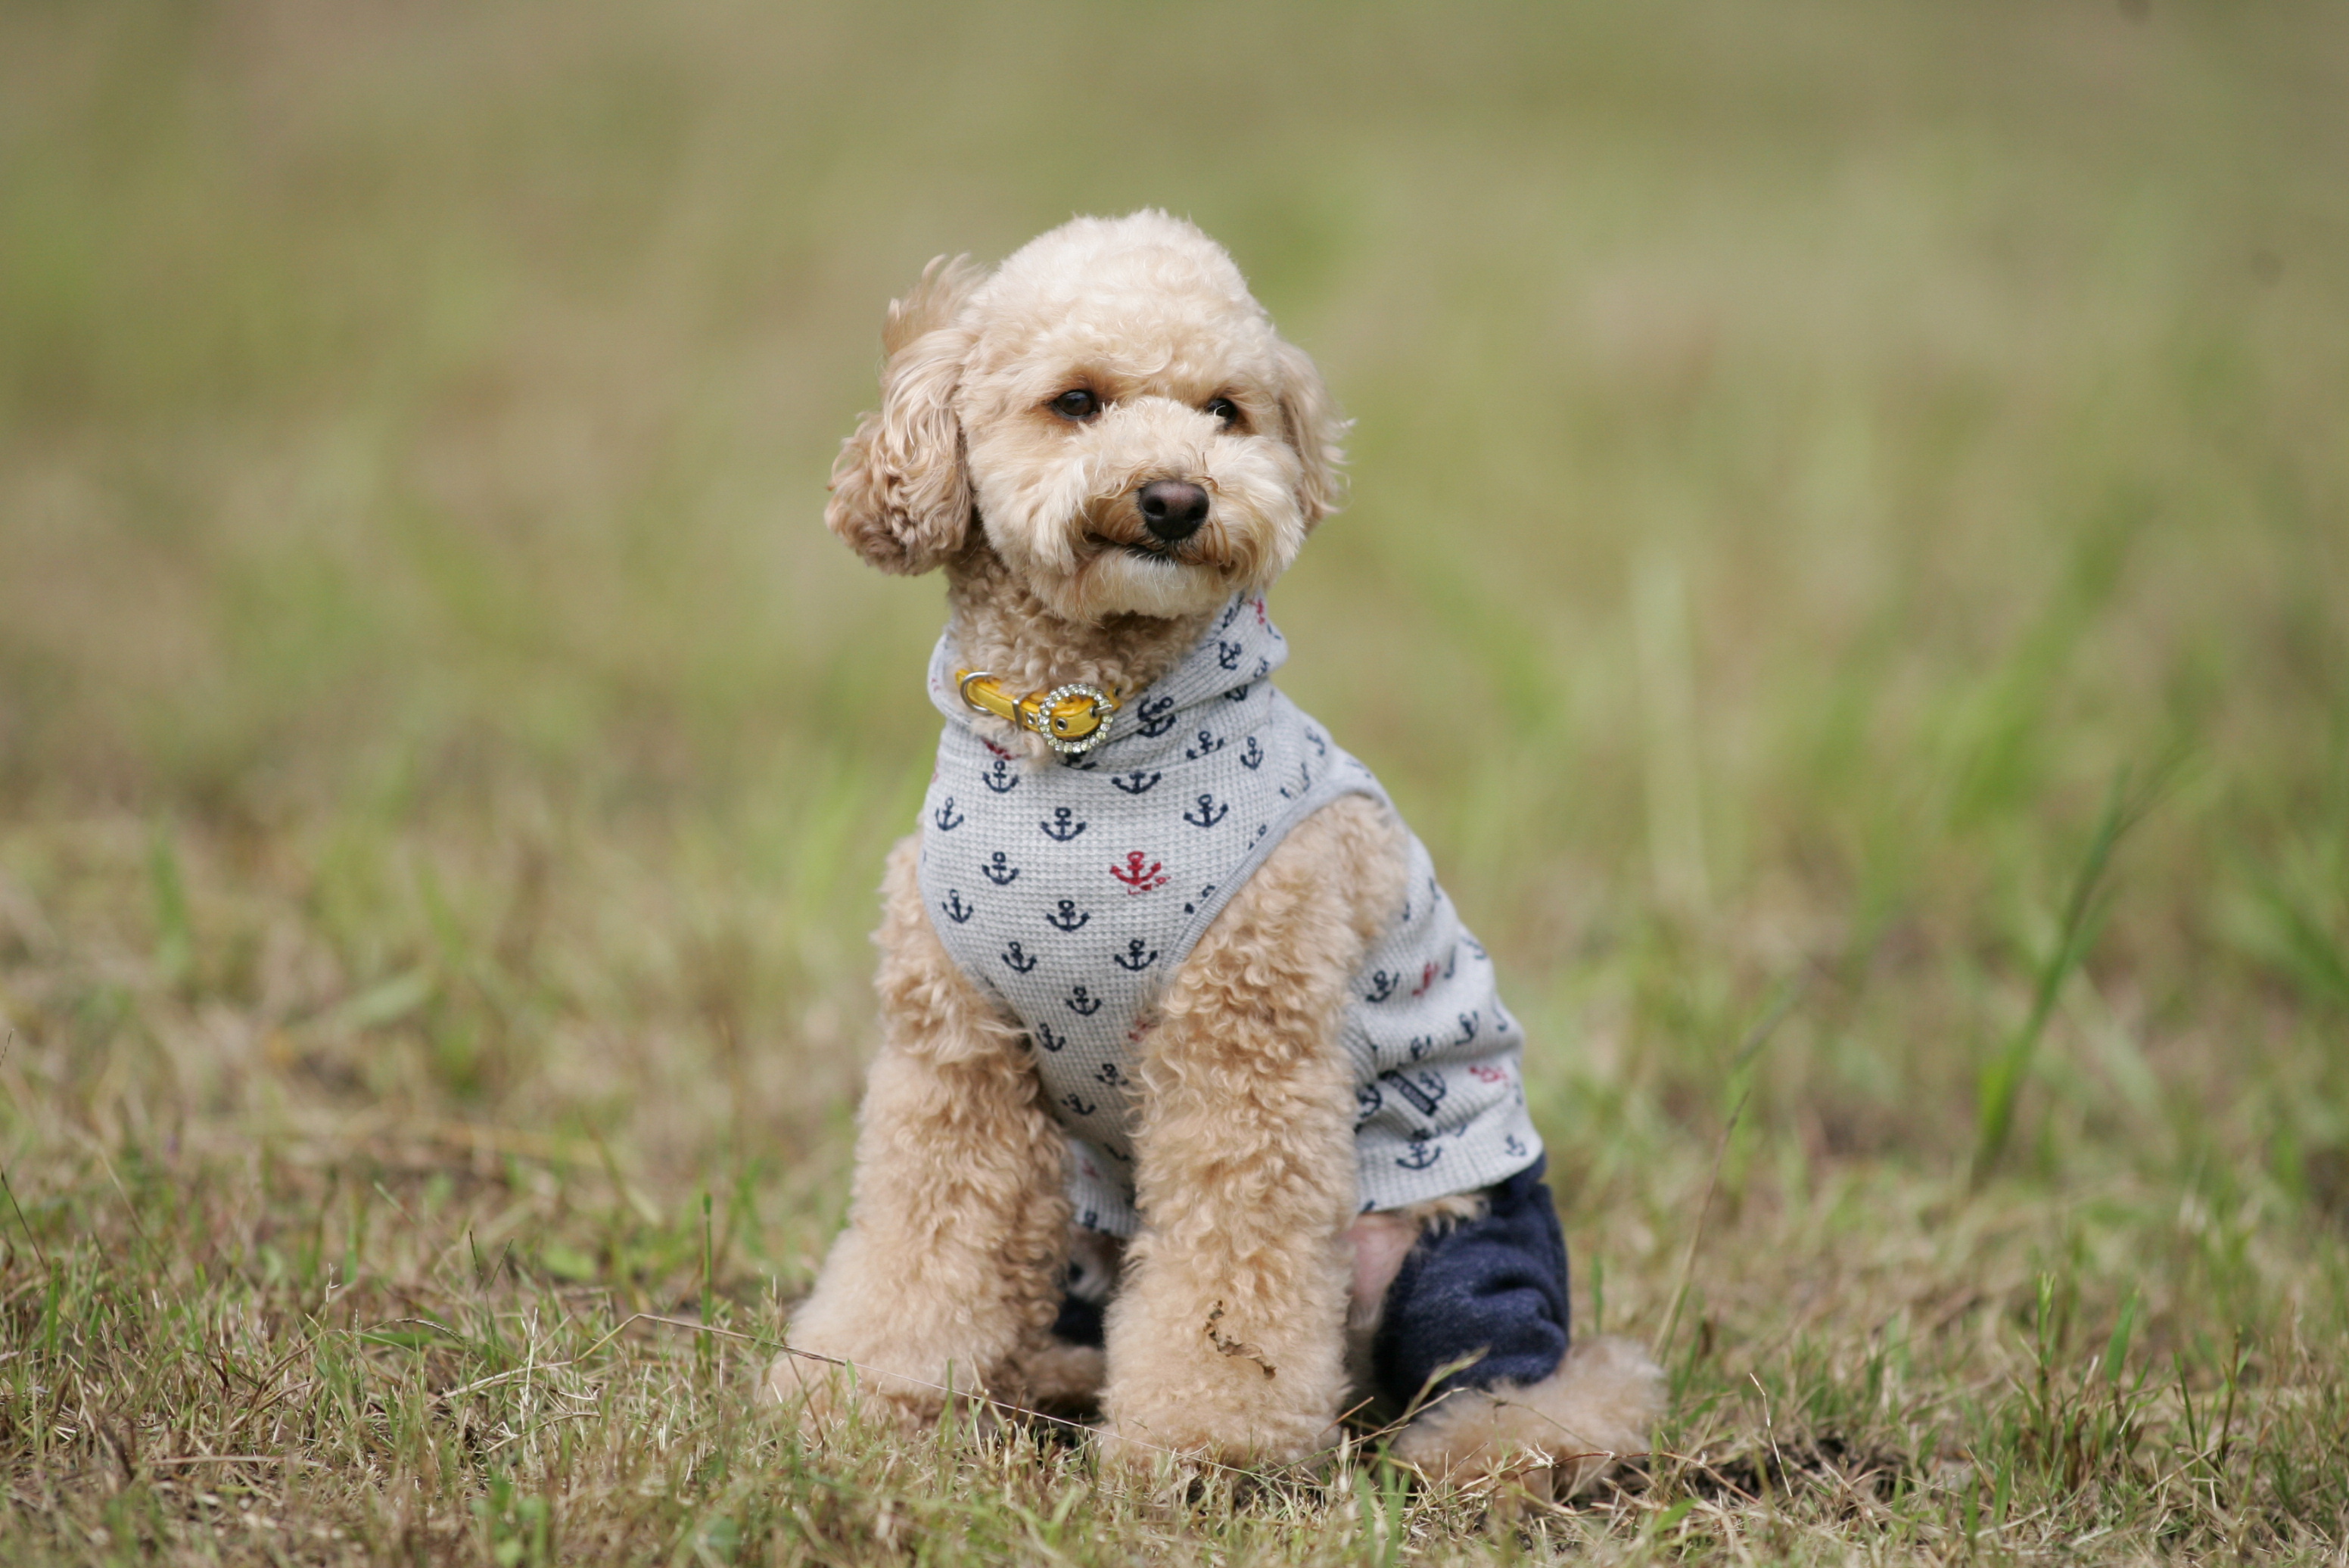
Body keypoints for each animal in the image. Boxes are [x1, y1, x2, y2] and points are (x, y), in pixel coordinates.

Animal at [761, 211, 1663, 1492]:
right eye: (1077, 402)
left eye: (1227, 410)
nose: (1177, 497)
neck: (1078, 733)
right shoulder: (956, 1056)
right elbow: (920, 1242)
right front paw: (857, 1399)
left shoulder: (1246, 1057)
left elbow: (1230, 1277)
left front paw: (1207, 1443)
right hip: (1082, 1225)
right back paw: (1050, 1373)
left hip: (1460, 1245)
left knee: (1525, 1371)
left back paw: (1507, 1440)